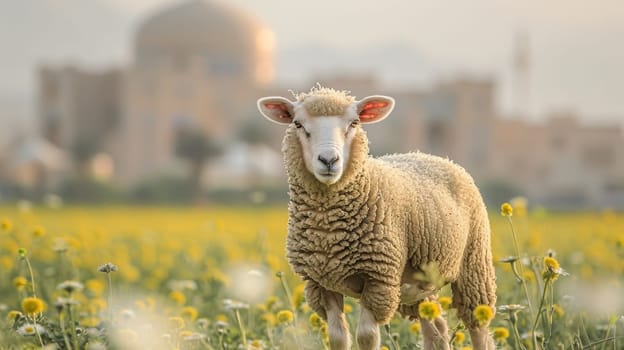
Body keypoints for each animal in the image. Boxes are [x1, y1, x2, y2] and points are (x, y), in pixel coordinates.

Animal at [256, 85, 494, 350]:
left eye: (354, 123)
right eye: (298, 123)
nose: (329, 160)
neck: (329, 230)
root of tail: (433, 156)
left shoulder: (378, 279)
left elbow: (366, 337)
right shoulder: (320, 284)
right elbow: (338, 338)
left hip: (474, 264)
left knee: (479, 326)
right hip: (419, 284)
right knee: (436, 328)